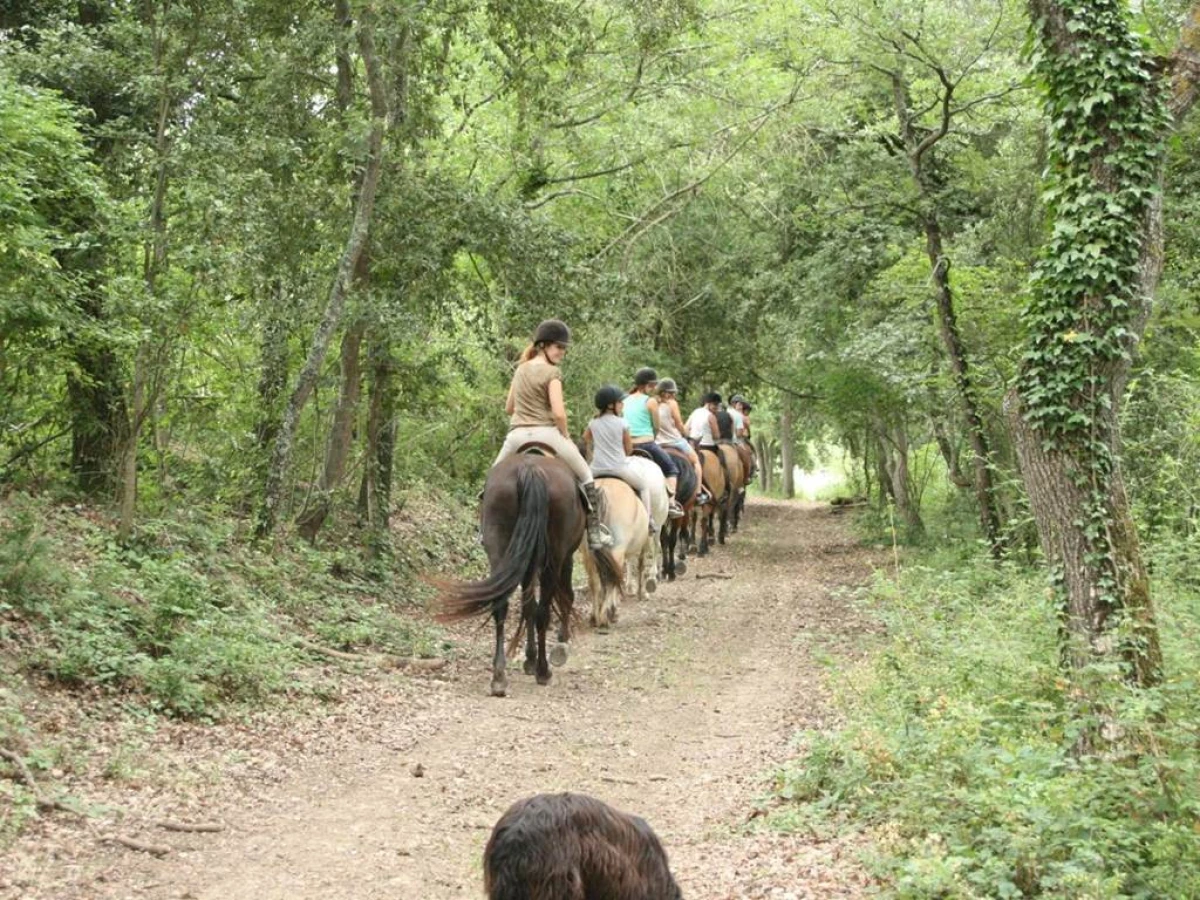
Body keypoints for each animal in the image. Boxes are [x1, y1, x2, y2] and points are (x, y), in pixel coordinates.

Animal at [444, 453, 628, 700]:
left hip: (500, 549)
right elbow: (561, 598)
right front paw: (558, 644)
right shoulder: (565, 557)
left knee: (501, 605)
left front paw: (529, 658)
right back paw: (543, 670)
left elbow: (528, 604)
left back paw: (499, 677)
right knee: (545, 610)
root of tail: (529, 469)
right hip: (554, 557)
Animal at [585, 475, 652, 628]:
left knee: (595, 581)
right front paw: (642, 593)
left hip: (587, 554)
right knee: (611, 578)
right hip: (616, 550)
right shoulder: (643, 544)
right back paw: (605, 616)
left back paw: (595, 616)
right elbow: (641, 565)